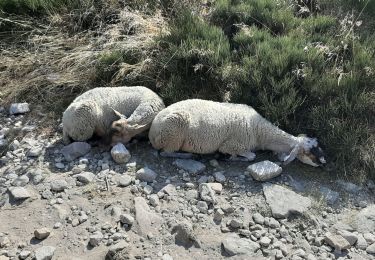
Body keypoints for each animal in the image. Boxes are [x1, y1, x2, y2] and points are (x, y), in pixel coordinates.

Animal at [148, 98, 328, 168]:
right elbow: (251, 156)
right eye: (310, 151)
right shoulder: (231, 145)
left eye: (318, 145)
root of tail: (152, 132)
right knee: (165, 153)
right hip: (173, 132)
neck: (259, 131)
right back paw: (188, 155)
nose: (324, 162)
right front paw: (231, 158)